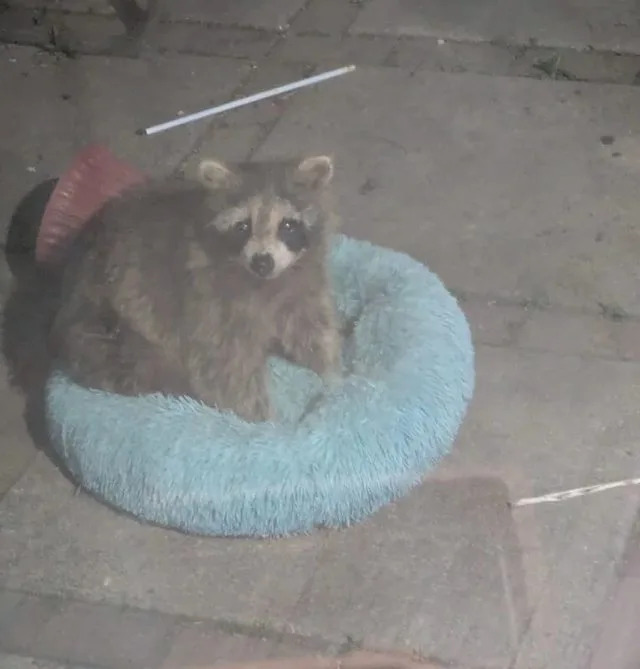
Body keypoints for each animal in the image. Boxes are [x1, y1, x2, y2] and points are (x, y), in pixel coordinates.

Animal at [49, 155, 342, 422]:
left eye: (287, 225)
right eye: (243, 226)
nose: (262, 262)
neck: (264, 281)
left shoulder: (301, 285)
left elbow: (311, 328)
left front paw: (330, 374)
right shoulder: (207, 302)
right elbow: (226, 368)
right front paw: (264, 423)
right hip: (108, 326)